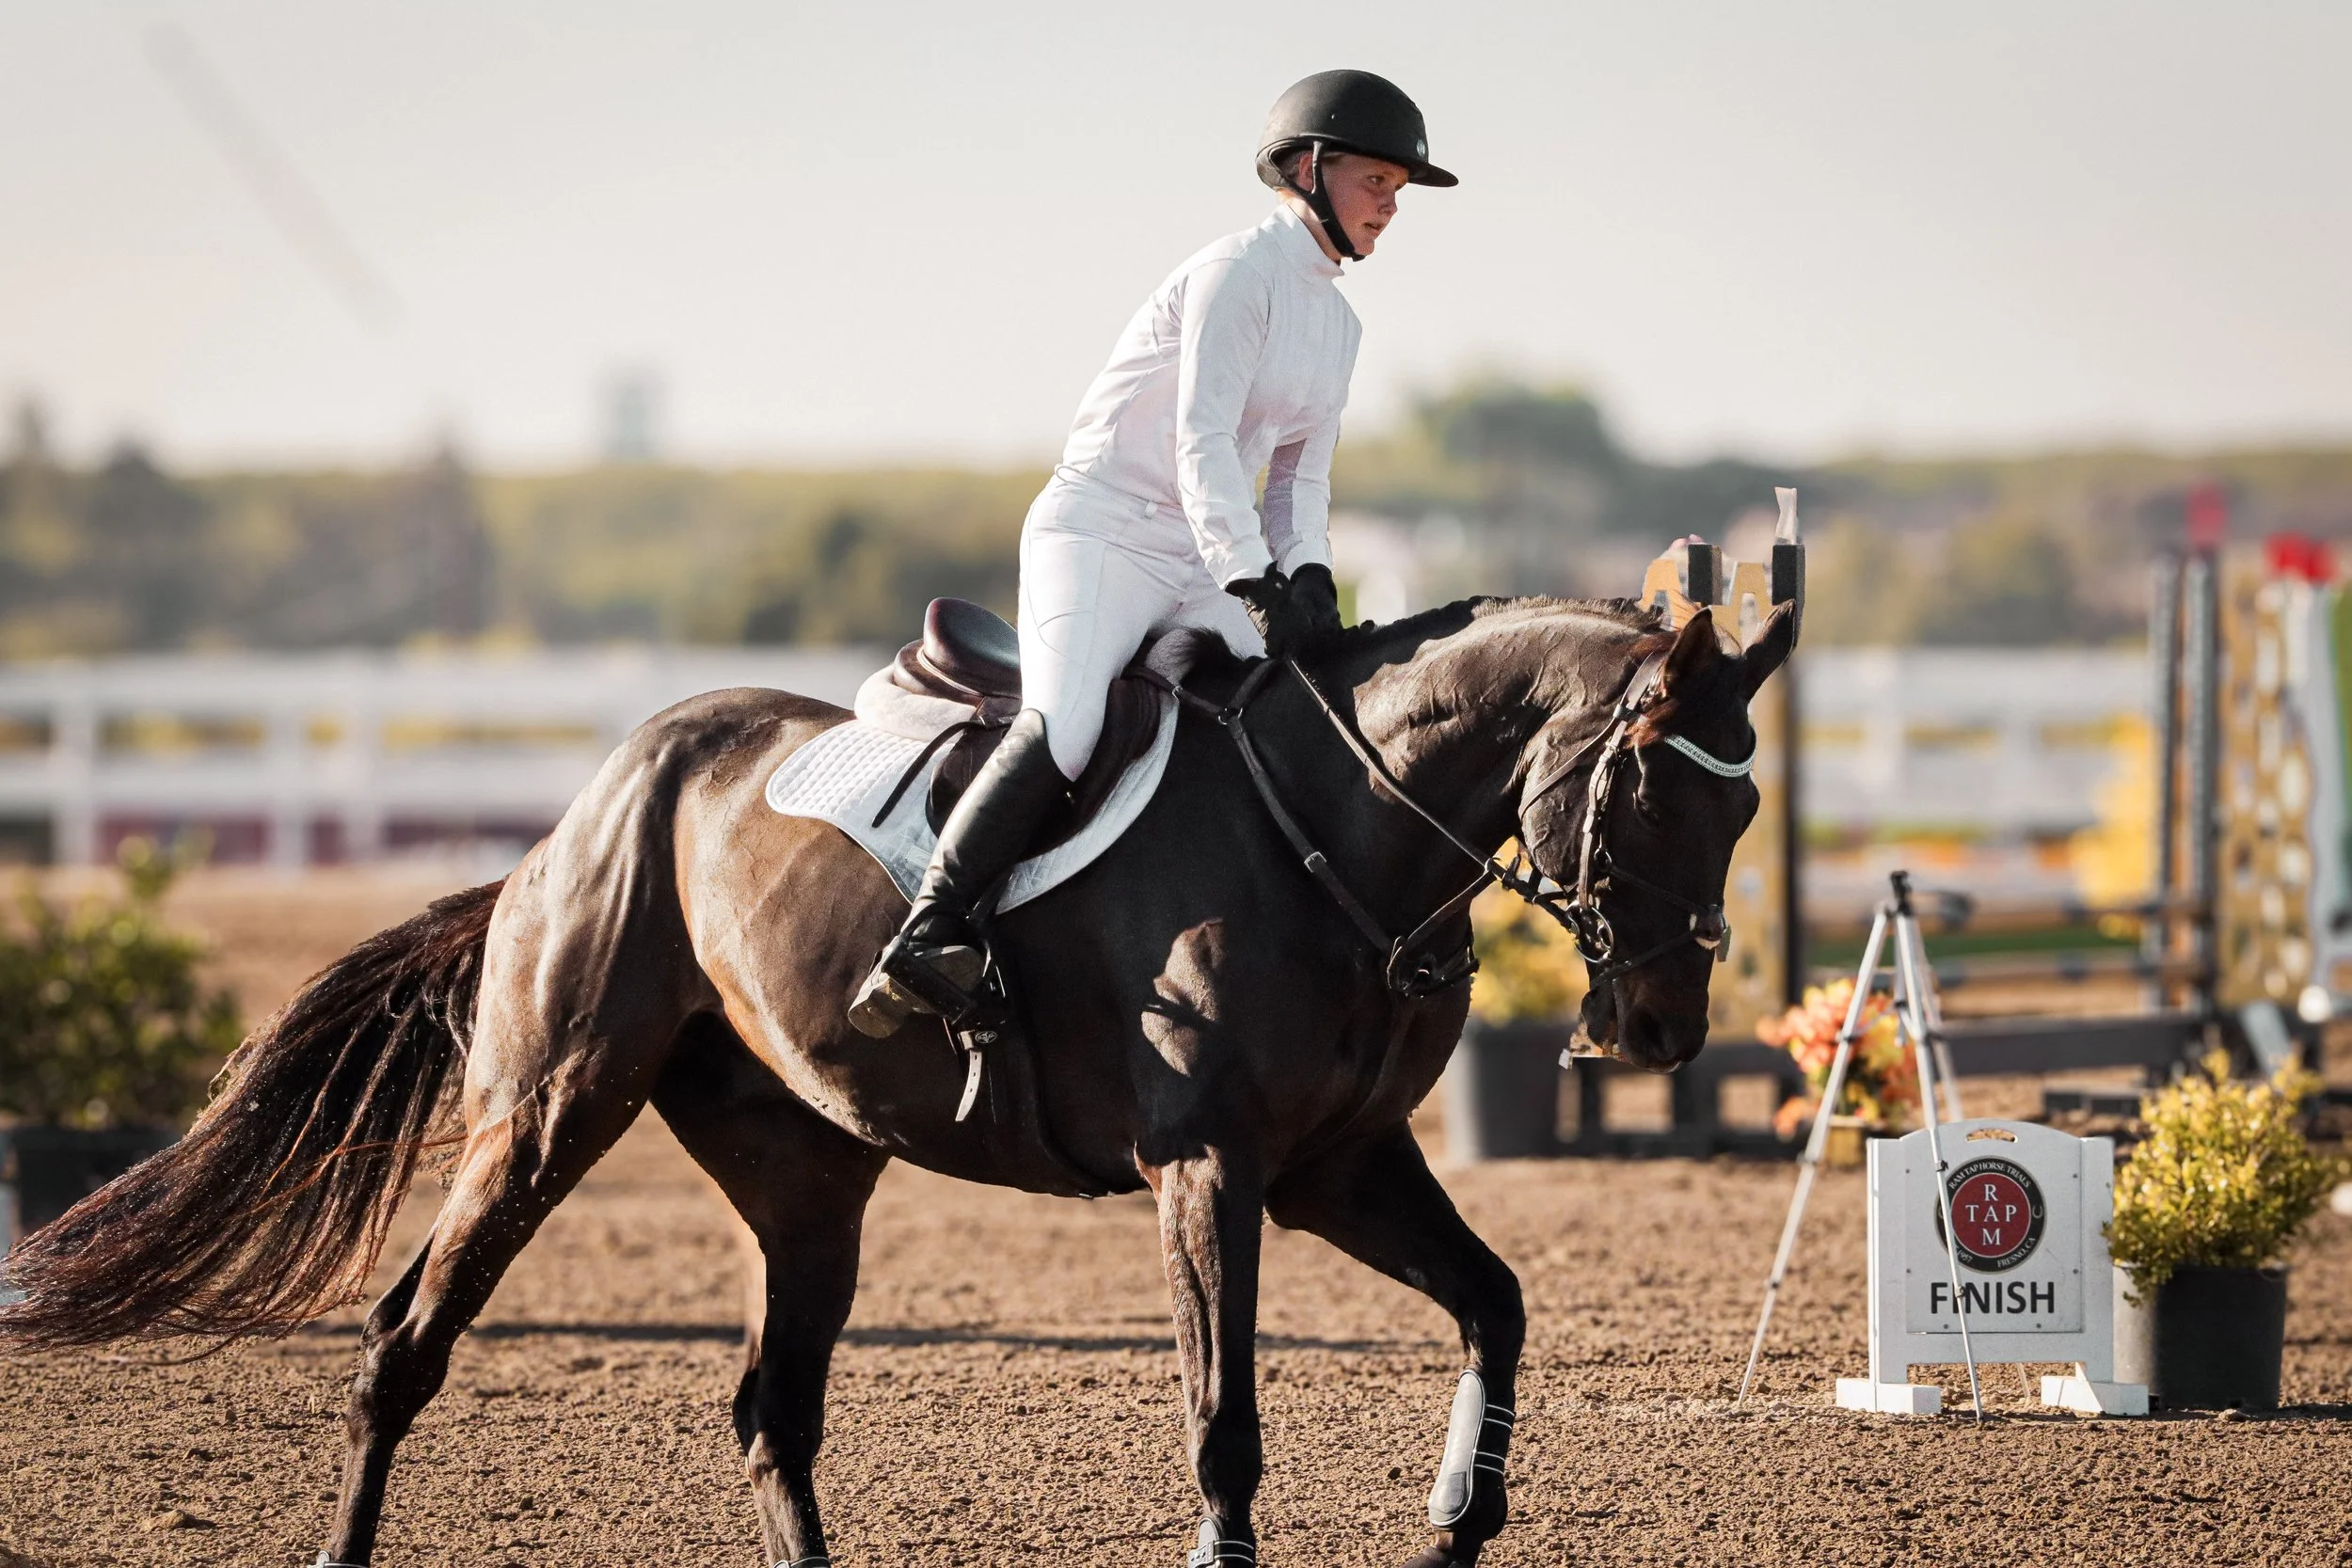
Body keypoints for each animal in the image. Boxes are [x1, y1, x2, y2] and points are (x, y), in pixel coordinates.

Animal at [0, 592, 1793, 1568]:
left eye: (1747, 808)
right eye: (1650, 784)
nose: (1656, 1030)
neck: (1332, 837)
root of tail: (585, 803)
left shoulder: (1343, 1165)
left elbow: (1497, 1302)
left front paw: (1456, 1513)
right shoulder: (1211, 1167)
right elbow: (1224, 1417)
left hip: (809, 1175)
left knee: (770, 1406)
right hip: (546, 1112)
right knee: (403, 1346)